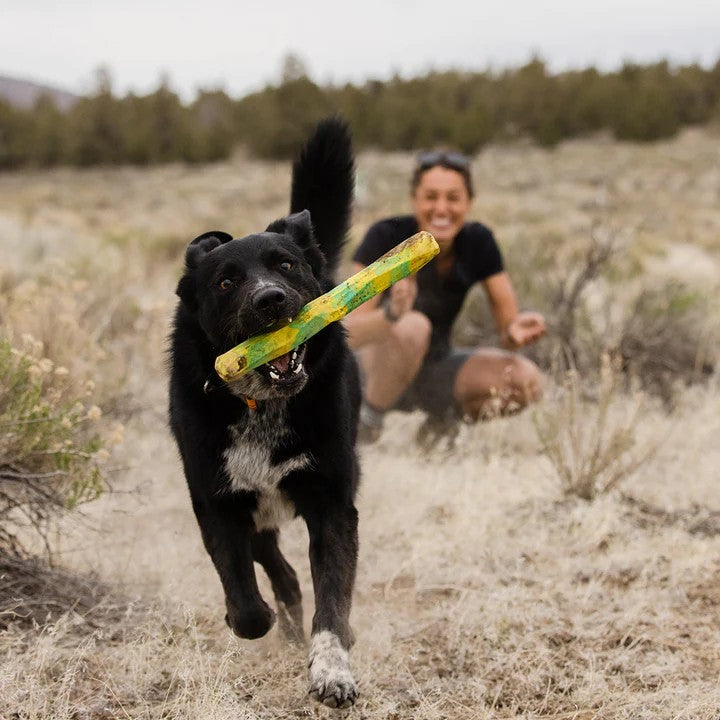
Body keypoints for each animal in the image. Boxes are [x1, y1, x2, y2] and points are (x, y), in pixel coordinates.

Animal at [169, 118, 360, 708]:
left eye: (286, 265)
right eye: (226, 281)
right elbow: (249, 606)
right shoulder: (218, 504)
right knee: (278, 574)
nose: (271, 300)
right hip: (253, 515)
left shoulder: (333, 504)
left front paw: (331, 670)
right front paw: (250, 620)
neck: (262, 408)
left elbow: (332, 604)